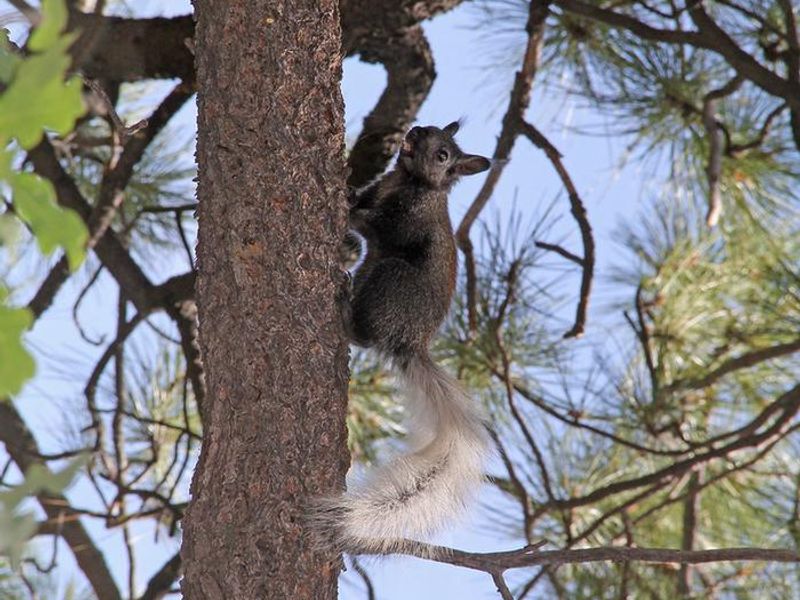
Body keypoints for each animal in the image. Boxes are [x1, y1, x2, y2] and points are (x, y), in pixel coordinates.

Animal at [316, 121, 493, 553]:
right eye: (431, 126)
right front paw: (349, 189)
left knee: (364, 336)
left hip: (391, 279)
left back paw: (343, 307)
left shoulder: (407, 220)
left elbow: (379, 223)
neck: (408, 181)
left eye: (444, 155)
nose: (414, 131)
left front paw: (347, 203)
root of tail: (410, 342)